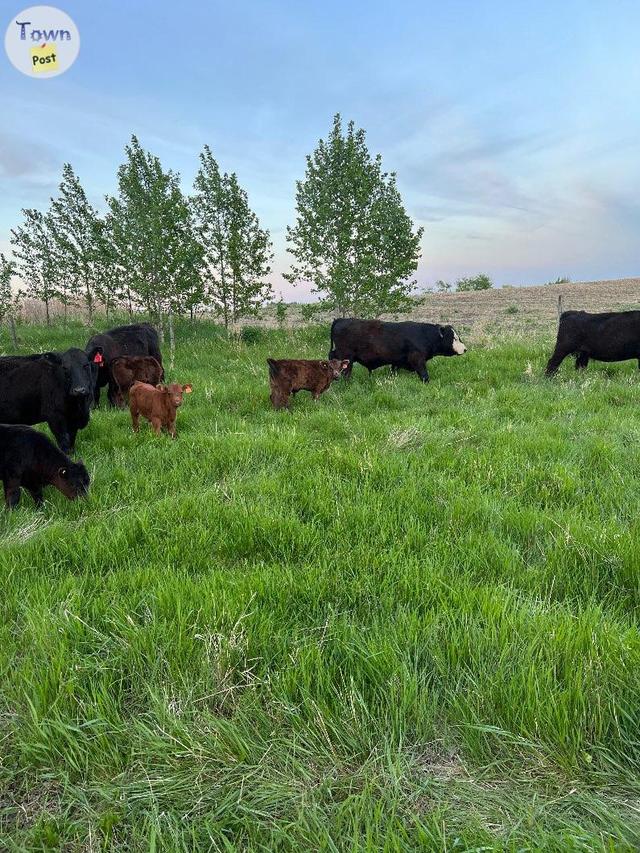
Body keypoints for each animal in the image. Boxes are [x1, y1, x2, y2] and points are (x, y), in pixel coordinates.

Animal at [330, 318, 464, 382]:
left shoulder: (397, 362)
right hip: (346, 356)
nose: (465, 349)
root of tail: (341, 319)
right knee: (346, 372)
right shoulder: (417, 358)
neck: (424, 335)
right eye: (455, 338)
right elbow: (424, 374)